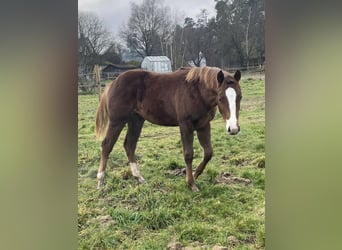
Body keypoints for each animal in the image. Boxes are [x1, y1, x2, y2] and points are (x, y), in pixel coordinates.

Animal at [95, 66, 242, 191]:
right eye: (221, 98)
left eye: (239, 97)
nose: (233, 128)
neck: (197, 91)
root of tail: (112, 83)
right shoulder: (185, 125)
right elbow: (188, 154)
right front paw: (191, 183)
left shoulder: (204, 125)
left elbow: (208, 153)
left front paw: (196, 174)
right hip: (117, 121)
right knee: (107, 145)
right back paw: (101, 180)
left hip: (136, 120)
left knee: (129, 145)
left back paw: (139, 178)